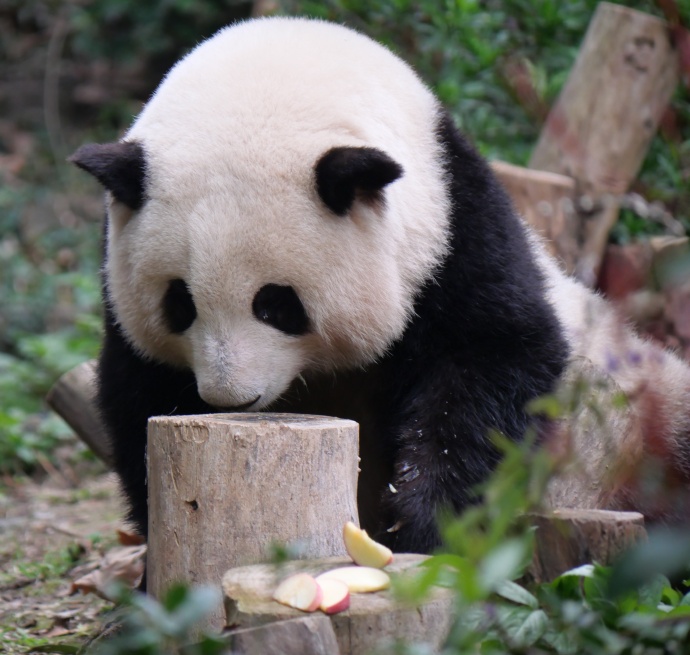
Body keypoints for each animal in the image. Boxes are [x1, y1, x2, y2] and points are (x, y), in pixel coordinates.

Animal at [70, 16, 690, 555]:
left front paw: (419, 520)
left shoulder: (451, 232)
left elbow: (494, 361)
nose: (231, 400)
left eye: (277, 304)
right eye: (180, 304)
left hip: (632, 421)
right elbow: (139, 391)